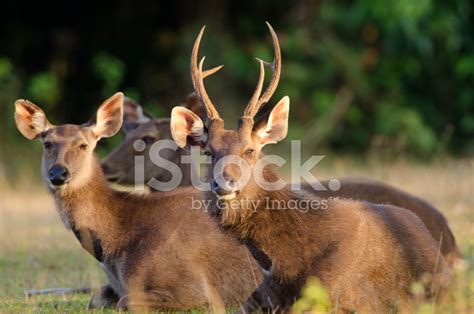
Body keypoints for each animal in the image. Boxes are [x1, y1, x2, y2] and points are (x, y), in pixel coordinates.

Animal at [13, 91, 262, 312]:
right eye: (47, 143)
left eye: (83, 145)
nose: (58, 173)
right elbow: (96, 298)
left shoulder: (199, 289)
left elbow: (126, 301)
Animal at [169, 23, 452, 312]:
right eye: (209, 152)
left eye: (249, 150)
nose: (224, 184)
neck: (286, 260)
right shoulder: (258, 297)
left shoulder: (345, 294)